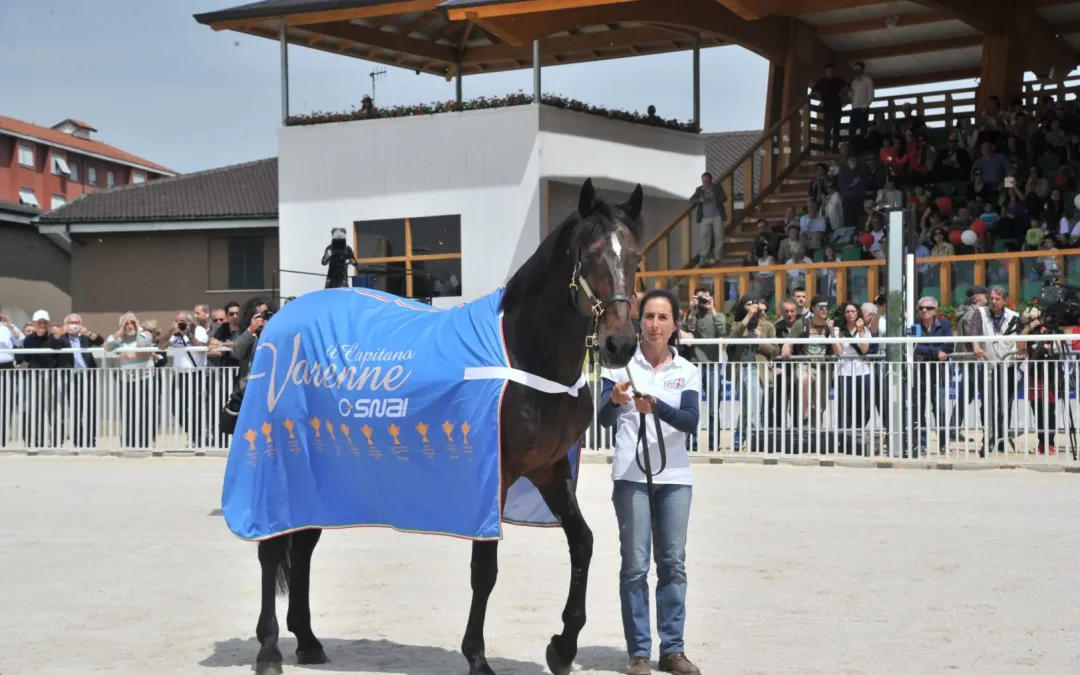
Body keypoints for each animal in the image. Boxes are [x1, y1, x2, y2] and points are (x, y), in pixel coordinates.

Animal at [237, 177, 644, 675]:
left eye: (635, 256)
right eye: (589, 255)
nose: (620, 343)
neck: (522, 354)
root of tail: (277, 322)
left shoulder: (549, 470)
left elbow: (582, 543)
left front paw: (562, 647)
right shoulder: (493, 476)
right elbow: (485, 569)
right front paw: (477, 657)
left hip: (320, 469)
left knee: (304, 543)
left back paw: (309, 640)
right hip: (280, 460)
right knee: (270, 547)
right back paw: (269, 649)